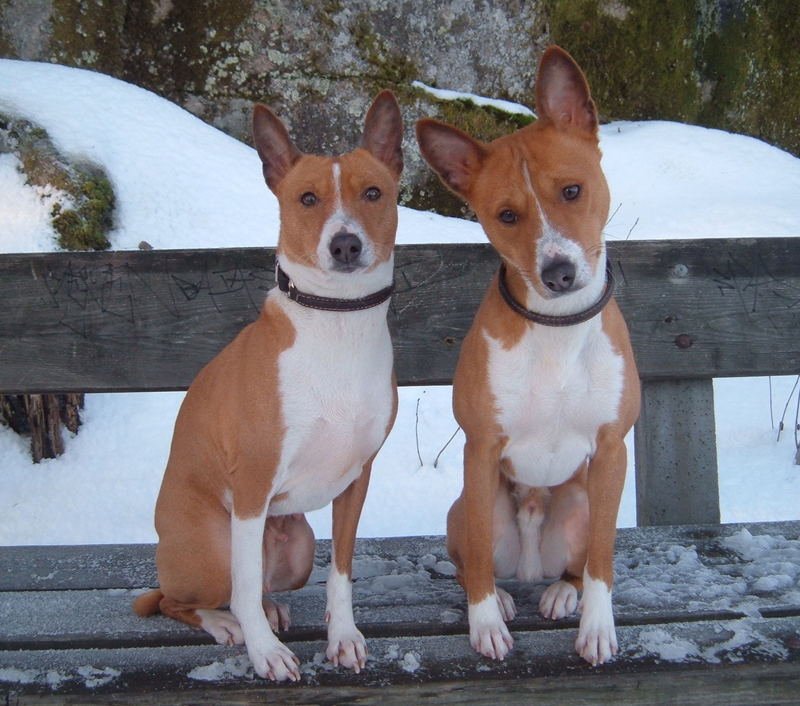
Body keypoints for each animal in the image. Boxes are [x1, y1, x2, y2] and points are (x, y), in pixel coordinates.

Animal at [135, 91, 406, 680]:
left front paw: (343, 637)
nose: (346, 244)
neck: (337, 324)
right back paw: (226, 624)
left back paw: (270, 607)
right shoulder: (254, 483)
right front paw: (265, 653)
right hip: (214, 547)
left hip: (296, 543)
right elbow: (240, 590)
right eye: (307, 198)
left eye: (373, 193)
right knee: (183, 599)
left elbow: (341, 574)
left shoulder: (356, 481)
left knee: (254, 585)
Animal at [416, 46, 640, 664]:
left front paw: (597, 628)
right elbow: (477, 568)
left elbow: (603, 562)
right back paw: (500, 598)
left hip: (582, 501)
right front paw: (485, 624)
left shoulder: (612, 451)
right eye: (507, 216)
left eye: (572, 191)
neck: (556, 330)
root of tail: (532, 561)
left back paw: (561, 592)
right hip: (469, 505)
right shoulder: (480, 448)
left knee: (577, 564)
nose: (558, 271)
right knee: (475, 562)